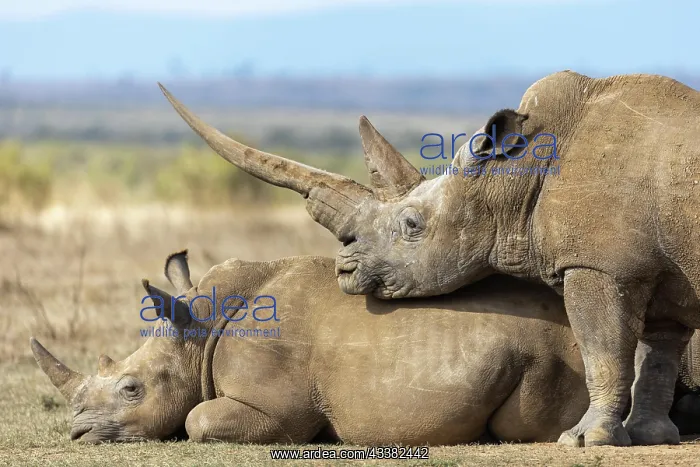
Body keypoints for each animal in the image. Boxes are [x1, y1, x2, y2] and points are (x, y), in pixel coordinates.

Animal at [31, 252, 700, 444]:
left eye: (132, 389)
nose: (78, 432)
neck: (199, 329)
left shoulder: (276, 409)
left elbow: (197, 420)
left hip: (561, 352)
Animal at [157, 72, 700, 447]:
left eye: (412, 225)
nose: (344, 270)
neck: (513, 177)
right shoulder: (657, 270)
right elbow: (657, 350)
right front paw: (650, 436)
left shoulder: (598, 266)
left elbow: (603, 348)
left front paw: (586, 440)